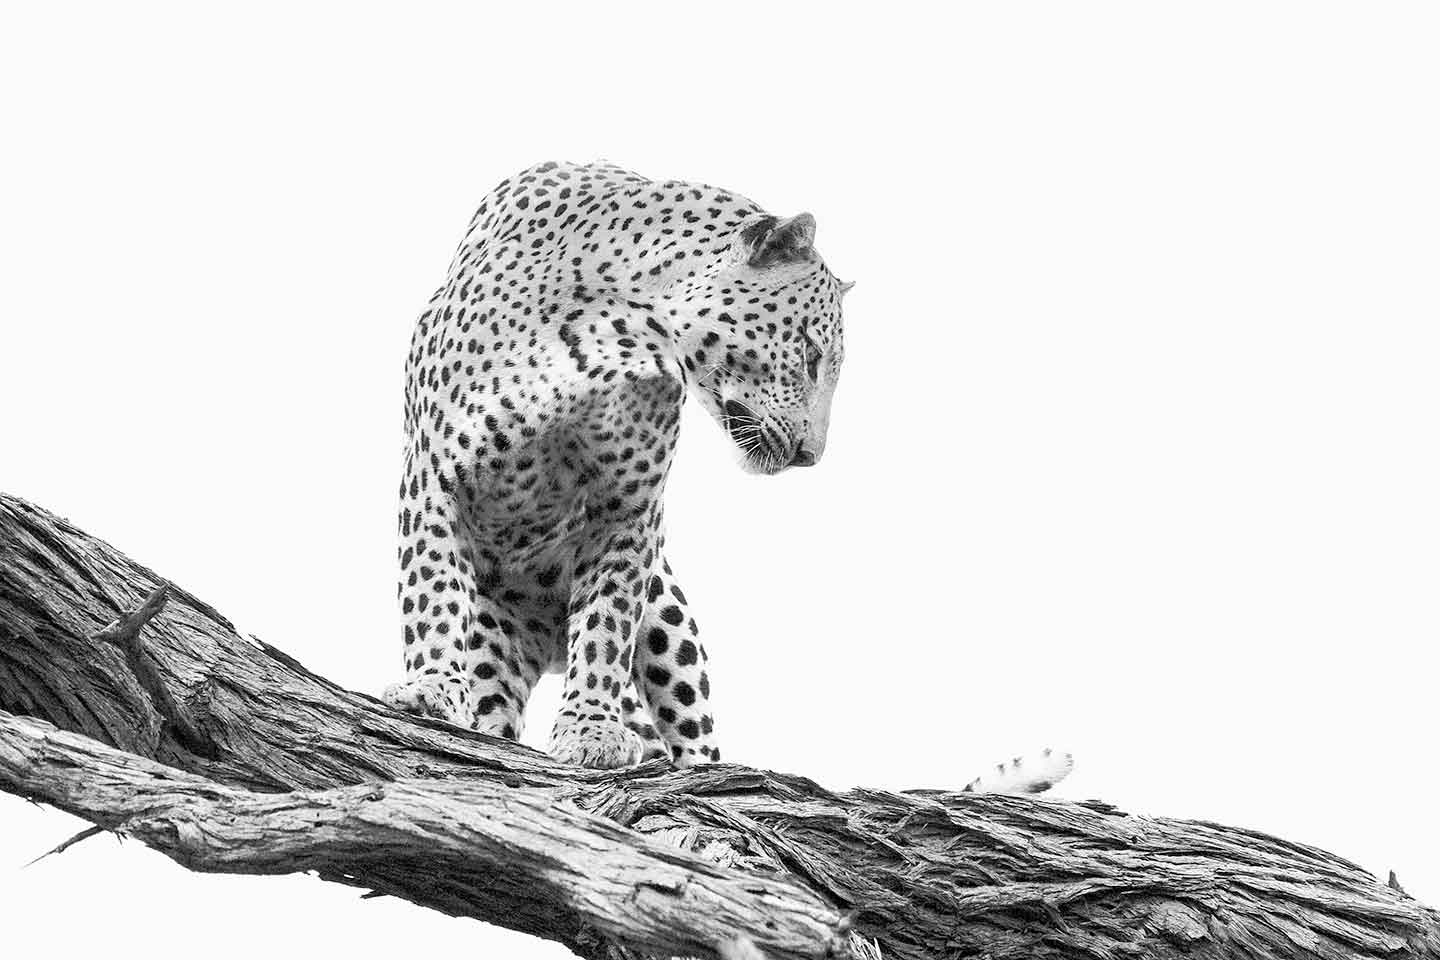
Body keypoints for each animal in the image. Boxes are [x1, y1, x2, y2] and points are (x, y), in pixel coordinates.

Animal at [382, 160, 1072, 790]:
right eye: (811, 354)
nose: (811, 454)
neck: (615, 334)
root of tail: (543, 643)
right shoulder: (436, 474)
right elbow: (431, 589)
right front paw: (428, 689)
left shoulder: (627, 511)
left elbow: (606, 627)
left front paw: (590, 731)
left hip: (669, 618)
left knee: (696, 736)